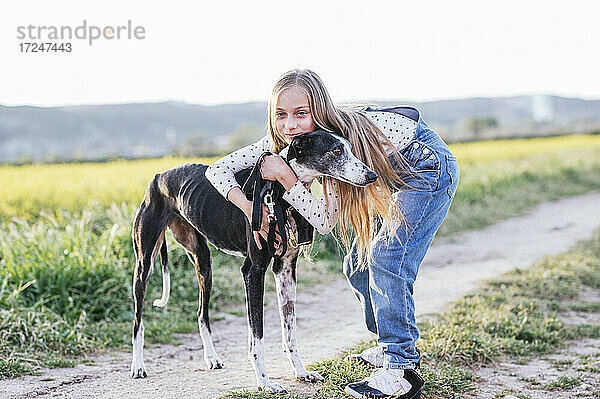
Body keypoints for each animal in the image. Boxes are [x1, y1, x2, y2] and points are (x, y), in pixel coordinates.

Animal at [129, 130, 378, 394]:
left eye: (350, 149)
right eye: (336, 151)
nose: (371, 175)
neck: (278, 193)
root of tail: (157, 177)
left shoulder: (286, 270)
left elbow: (290, 332)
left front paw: (301, 372)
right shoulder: (253, 271)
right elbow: (257, 335)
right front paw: (265, 383)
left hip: (203, 263)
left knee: (201, 314)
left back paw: (212, 357)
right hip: (144, 264)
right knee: (138, 320)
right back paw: (138, 365)